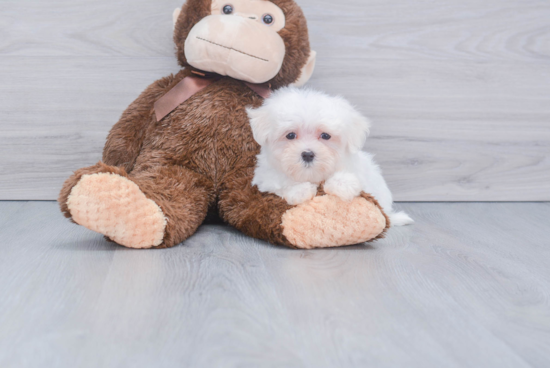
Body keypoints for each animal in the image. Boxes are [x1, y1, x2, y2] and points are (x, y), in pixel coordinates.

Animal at [247, 87, 414, 226]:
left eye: (326, 136)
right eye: (290, 135)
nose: (308, 154)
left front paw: (343, 184)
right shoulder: (266, 180)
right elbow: (280, 183)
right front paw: (299, 190)